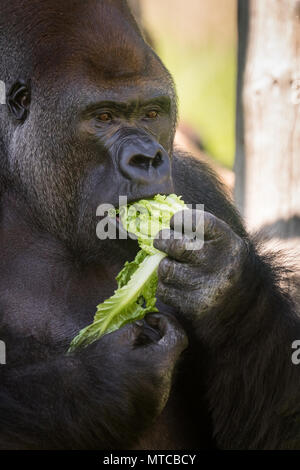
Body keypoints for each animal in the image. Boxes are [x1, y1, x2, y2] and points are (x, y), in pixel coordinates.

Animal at [0, 0, 300, 450]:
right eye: (104, 116)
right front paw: (109, 376)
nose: (148, 158)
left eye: (151, 113)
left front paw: (226, 286)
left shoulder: (198, 189)